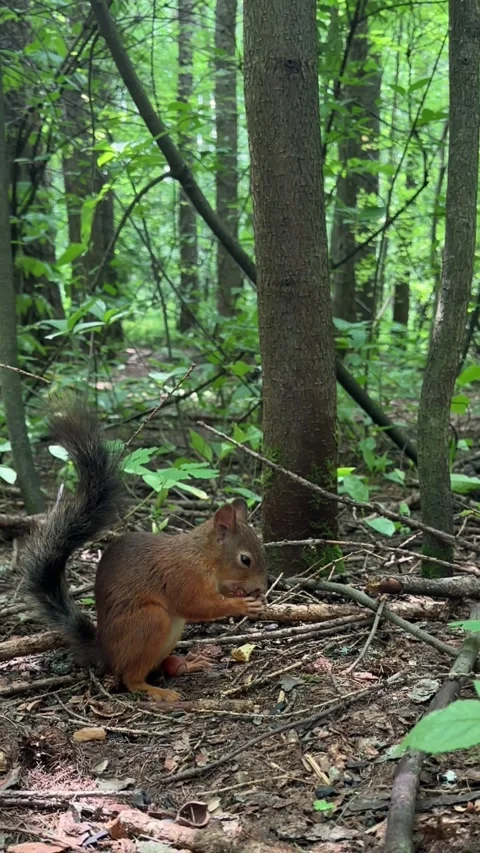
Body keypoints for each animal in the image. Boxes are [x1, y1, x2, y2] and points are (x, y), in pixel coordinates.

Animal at [22, 400, 268, 702]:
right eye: (245, 559)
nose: (262, 586)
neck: (204, 556)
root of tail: (104, 651)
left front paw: (240, 593)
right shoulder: (183, 576)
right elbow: (197, 605)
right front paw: (241, 604)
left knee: (163, 666)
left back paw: (188, 664)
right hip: (150, 621)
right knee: (131, 678)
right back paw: (155, 690)